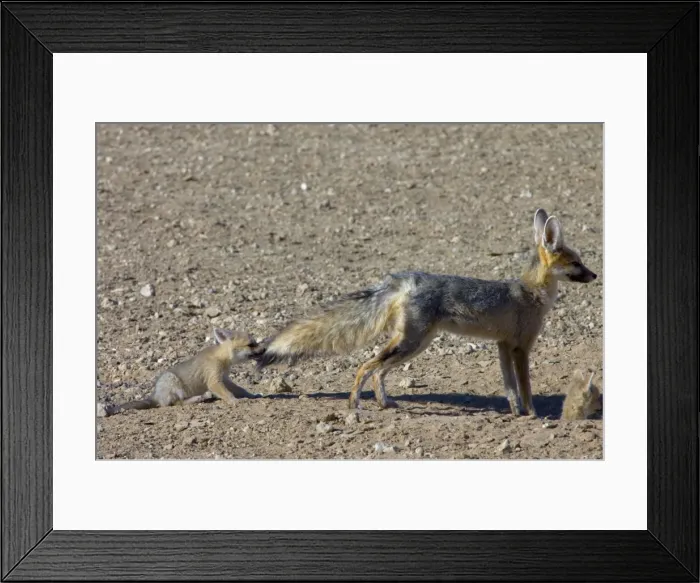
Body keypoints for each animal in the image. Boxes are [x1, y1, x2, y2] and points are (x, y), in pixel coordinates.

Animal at [99, 328, 260, 417]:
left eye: (255, 342)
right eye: (251, 344)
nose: (263, 349)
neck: (221, 357)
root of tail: (155, 396)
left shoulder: (224, 379)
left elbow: (240, 389)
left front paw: (253, 395)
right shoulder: (214, 381)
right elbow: (228, 393)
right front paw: (235, 401)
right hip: (174, 382)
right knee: (175, 403)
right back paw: (197, 399)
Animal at [252, 208, 597, 416]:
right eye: (576, 263)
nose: (594, 275)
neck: (530, 292)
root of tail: (406, 278)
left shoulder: (502, 345)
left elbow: (510, 388)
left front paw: (515, 413)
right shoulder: (521, 347)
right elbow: (525, 387)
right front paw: (534, 415)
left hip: (416, 344)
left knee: (379, 372)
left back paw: (385, 403)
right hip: (411, 343)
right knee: (366, 367)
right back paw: (354, 405)